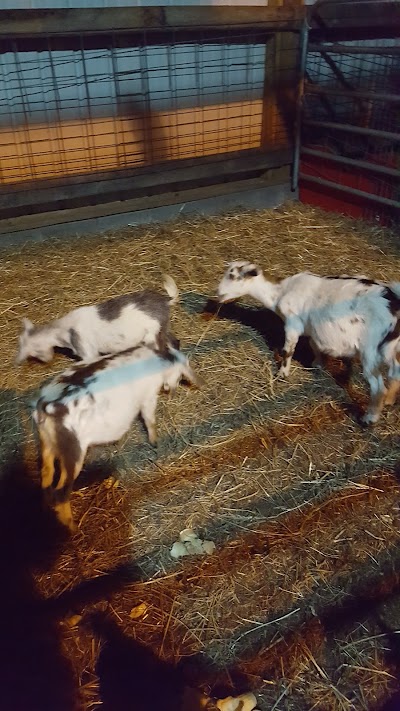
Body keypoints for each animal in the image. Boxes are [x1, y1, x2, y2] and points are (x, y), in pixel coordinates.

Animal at [15, 274, 178, 364]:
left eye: (32, 351)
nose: (46, 359)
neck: (66, 330)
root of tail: (166, 300)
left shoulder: (88, 352)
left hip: (152, 334)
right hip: (163, 328)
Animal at [32, 342, 202, 532]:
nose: (172, 390)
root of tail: (44, 408)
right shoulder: (148, 397)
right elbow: (149, 419)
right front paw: (155, 442)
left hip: (47, 442)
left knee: (46, 474)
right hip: (72, 450)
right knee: (60, 493)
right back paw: (72, 528)